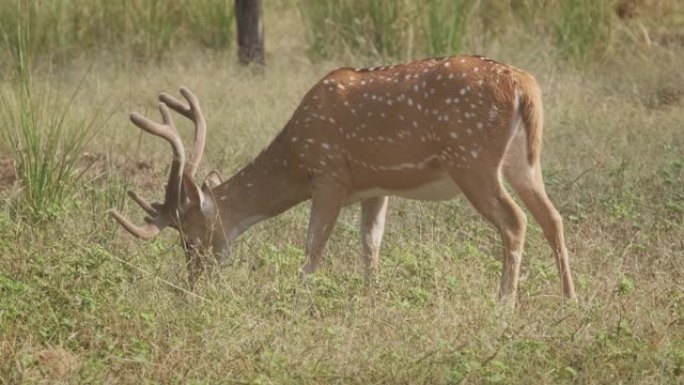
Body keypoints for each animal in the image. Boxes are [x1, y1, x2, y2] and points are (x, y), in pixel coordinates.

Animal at [111, 55, 576, 306]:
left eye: (191, 239)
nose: (190, 285)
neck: (295, 158)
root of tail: (523, 84)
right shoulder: (377, 188)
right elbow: (371, 243)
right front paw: (372, 298)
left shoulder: (329, 175)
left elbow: (314, 245)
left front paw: (298, 302)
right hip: (523, 161)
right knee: (552, 217)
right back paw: (569, 299)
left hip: (472, 159)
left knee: (515, 221)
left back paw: (504, 304)